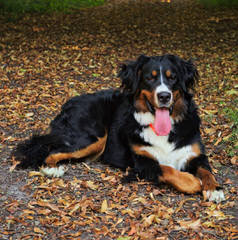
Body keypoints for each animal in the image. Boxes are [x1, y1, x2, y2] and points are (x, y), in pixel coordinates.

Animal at [14, 54, 225, 202]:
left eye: (172, 78)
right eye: (149, 78)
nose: (164, 96)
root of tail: (69, 103)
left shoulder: (196, 154)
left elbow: (207, 171)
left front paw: (214, 189)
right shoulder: (142, 162)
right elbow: (167, 169)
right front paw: (192, 181)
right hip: (93, 138)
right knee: (51, 150)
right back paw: (52, 169)